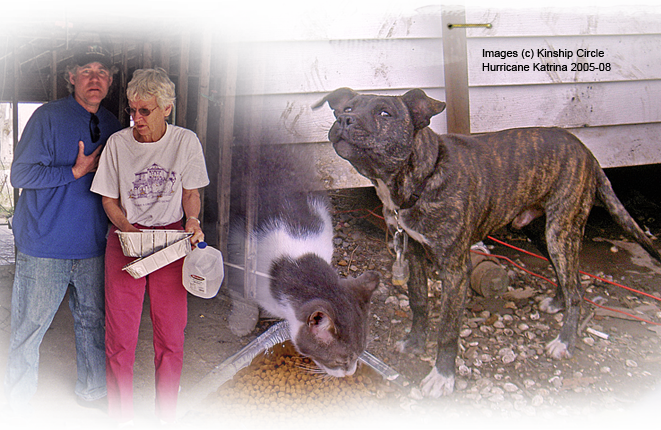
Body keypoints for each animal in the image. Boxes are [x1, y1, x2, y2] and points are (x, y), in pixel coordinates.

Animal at [227, 144, 378, 376]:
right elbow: (240, 292)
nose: (350, 372)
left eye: (361, 353)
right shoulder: (236, 250)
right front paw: (242, 320)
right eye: (340, 361)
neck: (297, 256)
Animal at [312, 86, 656, 396]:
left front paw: (443, 376)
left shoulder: (455, 271)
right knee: (565, 277)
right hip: (541, 232)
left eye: (385, 113)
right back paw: (556, 302)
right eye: (346, 108)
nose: (344, 120)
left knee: (577, 290)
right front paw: (414, 342)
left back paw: (564, 341)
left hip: (562, 231)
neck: (420, 178)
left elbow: (448, 329)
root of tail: (587, 152)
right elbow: (419, 302)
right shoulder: (414, 252)